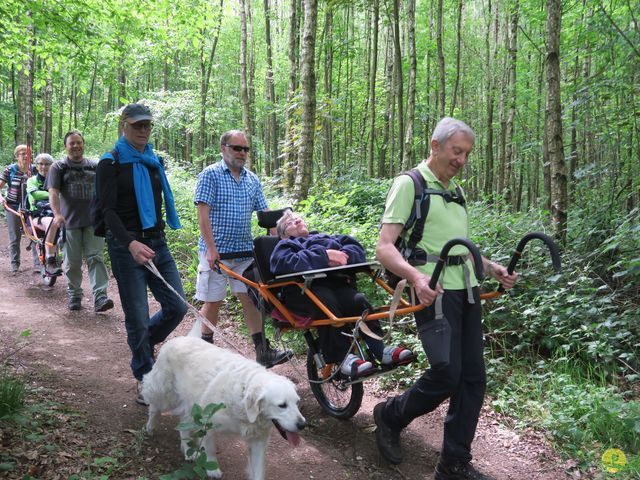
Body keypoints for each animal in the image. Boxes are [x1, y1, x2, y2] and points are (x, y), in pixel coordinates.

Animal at [143, 336, 308, 478]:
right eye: (282, 405)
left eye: (297, 403)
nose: (303, 425)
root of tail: (181, 337)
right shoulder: (207, 420)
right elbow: (209, 447)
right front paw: (213, 470)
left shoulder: (258, 440)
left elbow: (258, 470)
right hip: (163, 392)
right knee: (154, 407)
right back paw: (149, 427)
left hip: (190, 402)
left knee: (183, 424)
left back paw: (188, 451)